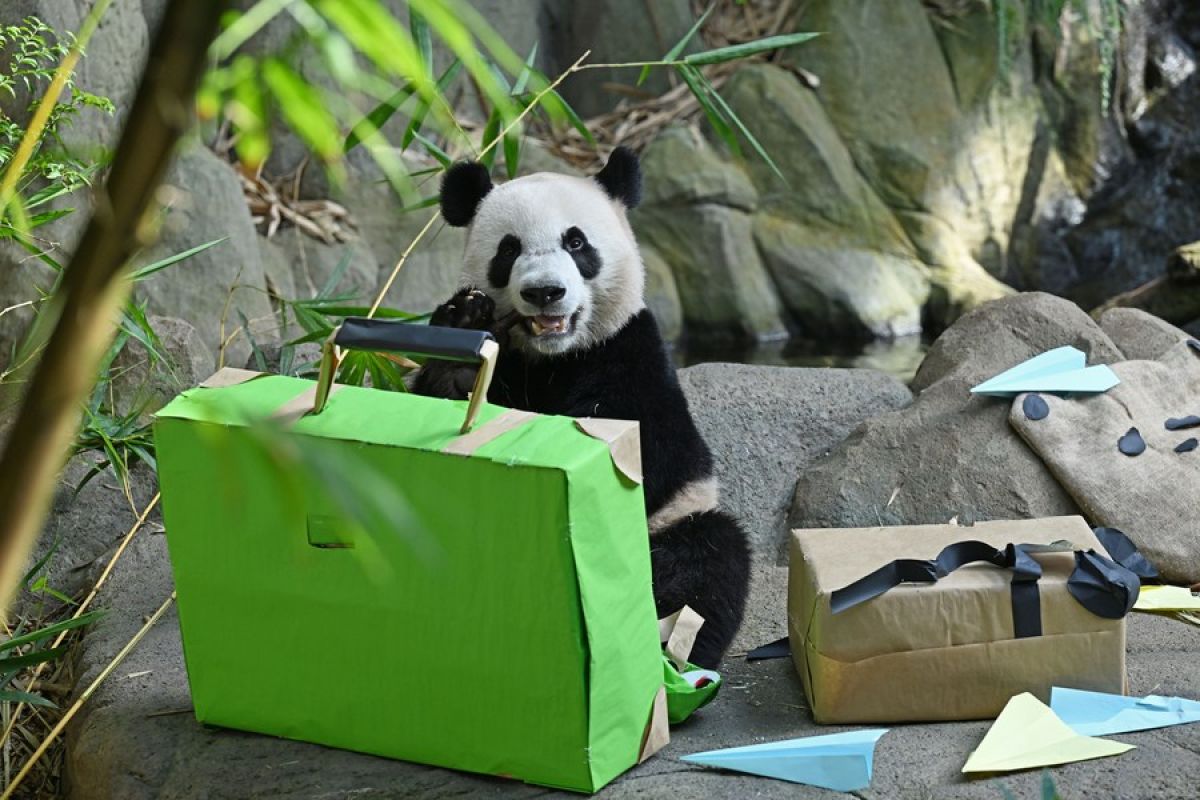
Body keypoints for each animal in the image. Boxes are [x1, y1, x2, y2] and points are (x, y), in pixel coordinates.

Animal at [412, 145, 748, 671]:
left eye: (575, 242)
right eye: (508, 249)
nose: (544, 292)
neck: (552, 357)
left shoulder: (629, 351)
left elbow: (644, 454)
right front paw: (462, 350)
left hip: (675, 524)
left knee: (706, 559)